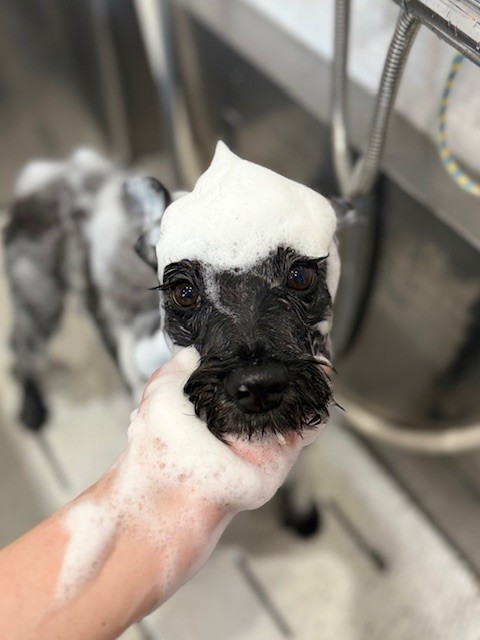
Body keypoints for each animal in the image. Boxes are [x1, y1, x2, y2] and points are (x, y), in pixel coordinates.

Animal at [4, 142, 343, 535]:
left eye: (301, 276)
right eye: (184, 292)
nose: (258, 383)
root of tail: (57, 172)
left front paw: (302, 507)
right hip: (40, 297)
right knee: (21, 347)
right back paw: (32, 406)